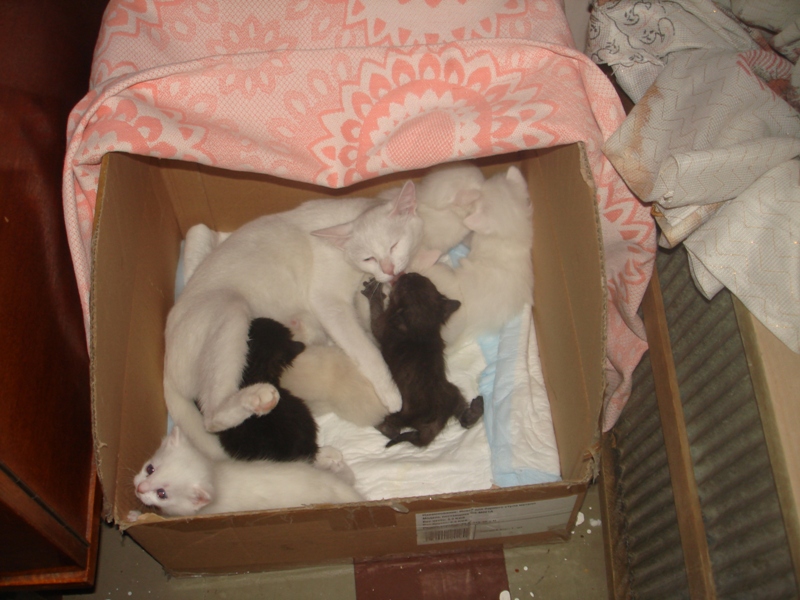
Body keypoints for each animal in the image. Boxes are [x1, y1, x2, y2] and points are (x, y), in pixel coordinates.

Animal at [362, 274, 484, 448]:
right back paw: (477, 408)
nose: (408, 274)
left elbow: (375, 313)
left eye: (403, 285)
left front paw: (374, 292)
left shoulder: (382, 325)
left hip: (398, 413)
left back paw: (382, 425)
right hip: (453, 392)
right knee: (465, 420)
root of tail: (435, 422)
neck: (420, 325)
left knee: (392, 429)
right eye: (424, 280)